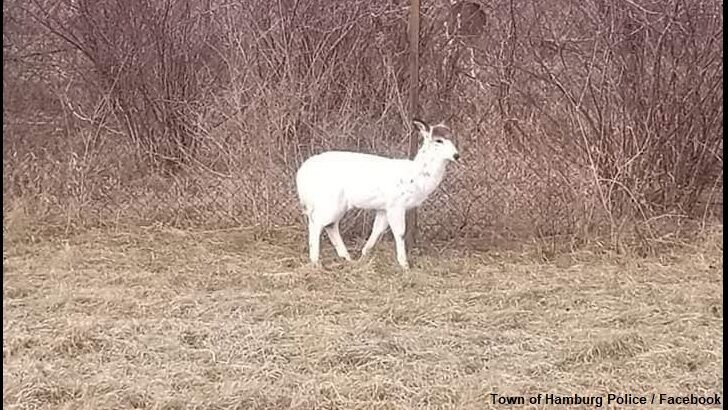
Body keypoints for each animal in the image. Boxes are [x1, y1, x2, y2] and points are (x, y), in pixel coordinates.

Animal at [292, 119, 458, 270]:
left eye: (452, 137)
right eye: (439, 140)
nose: (456, 155)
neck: (414, 178)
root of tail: (301, 175)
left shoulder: (383, 208)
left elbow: (377, 229)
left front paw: (364, 255)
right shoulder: (396, 204)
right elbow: (400, 233)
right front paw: (404, 265)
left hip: (336, 204)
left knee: (330, 225)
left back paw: (347, 257)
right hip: (331, 200)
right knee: (316, 223)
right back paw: (316, 262)